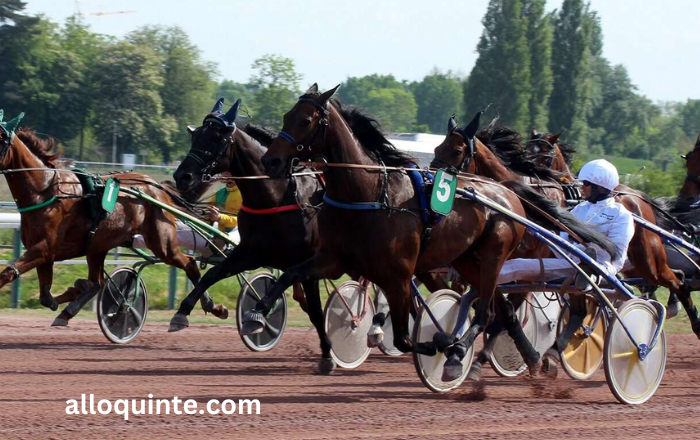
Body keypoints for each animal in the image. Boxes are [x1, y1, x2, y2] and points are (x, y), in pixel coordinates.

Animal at [0, 119, 224, 324]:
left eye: (0, 139)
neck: (46, 190)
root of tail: (157, 187)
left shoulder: (44, 248)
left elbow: (9, 274)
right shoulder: (44, 252)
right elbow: (46, 297)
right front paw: (72, 292)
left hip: (162, 243)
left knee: (190, 264)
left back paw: (209, 307)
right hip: (98, 246)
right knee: (97, 282)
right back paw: (69, 310)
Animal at [243, 86, 616, 378]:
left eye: (305, 121)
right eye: (286, 116)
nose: (271, 162)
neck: (370, 193)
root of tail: (507, 190)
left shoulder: (397, 273)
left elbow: (405, 337)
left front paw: (443, 341)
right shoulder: (333, 259)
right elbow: (289, 274)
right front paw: (258, 313)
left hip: (496, 257)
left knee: (491, 312)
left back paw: (463, 354)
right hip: (469, 261)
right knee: (501, 310)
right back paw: (525, 357)